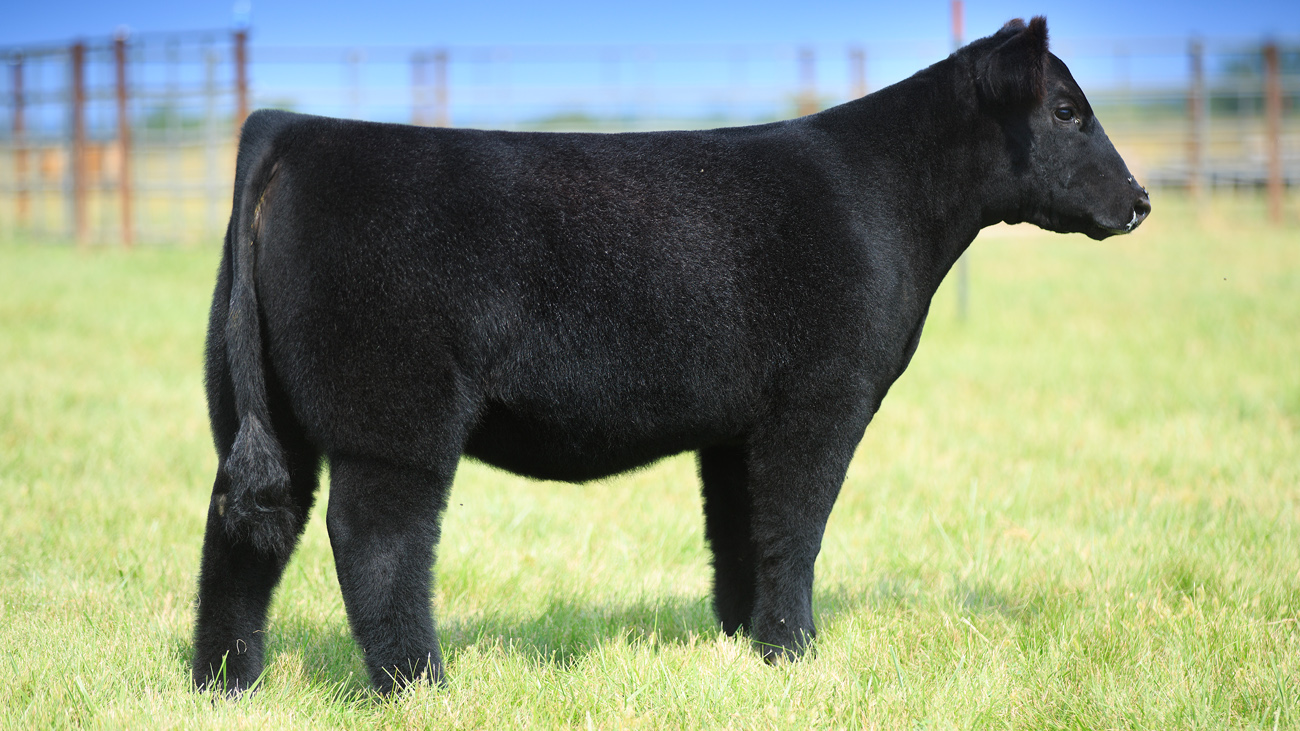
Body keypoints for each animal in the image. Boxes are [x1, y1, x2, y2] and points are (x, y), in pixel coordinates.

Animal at [192, 17, 1150, 694]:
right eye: (1066, 111)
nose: (1141, 200)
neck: (883, 195)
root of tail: (295, 128)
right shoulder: (822, 398)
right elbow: (795, 526)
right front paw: (795, 652)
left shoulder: (737, 423)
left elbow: (739, 532)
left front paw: (744, 643)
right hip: (394, 414)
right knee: (374, 539)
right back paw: (418, 685)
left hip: (261, 410)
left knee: (242, 529)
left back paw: (225, 684)